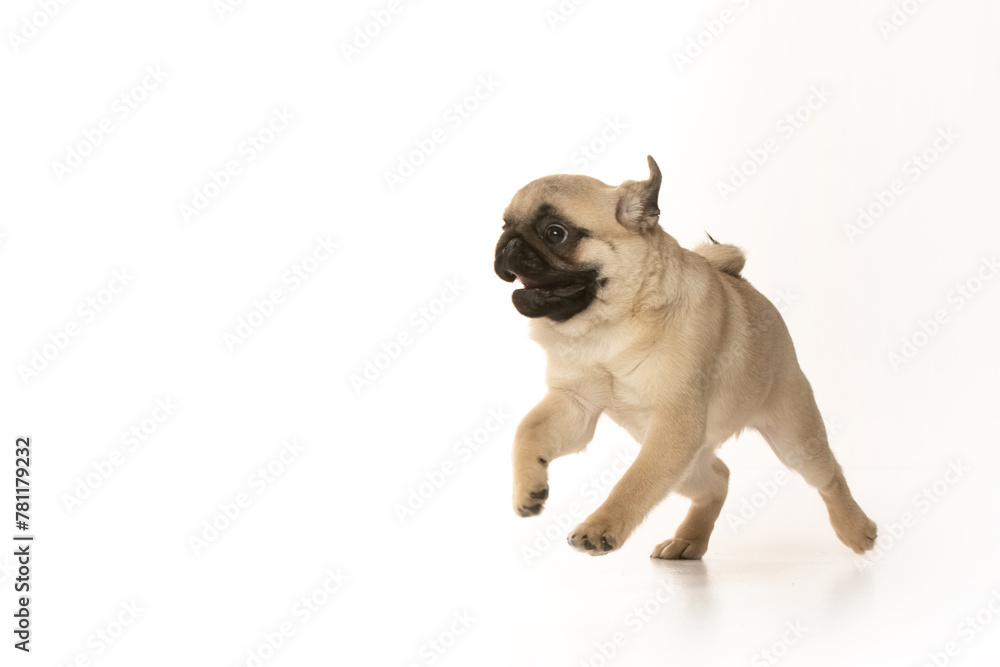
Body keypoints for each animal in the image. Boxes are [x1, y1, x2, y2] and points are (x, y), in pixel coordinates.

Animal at [492, 157, 876, 560]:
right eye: (504, 226)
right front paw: (528, 488)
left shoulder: (674, 425)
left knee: (829, 476)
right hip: (685, 461)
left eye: (555, 233)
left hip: (791, 436)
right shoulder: (575, 406)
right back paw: (689, 540)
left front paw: (601, 527)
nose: (508, 244)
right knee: (718, 479)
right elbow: (527, 432)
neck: (608, 326)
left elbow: (634, 482)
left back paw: (857, 530)